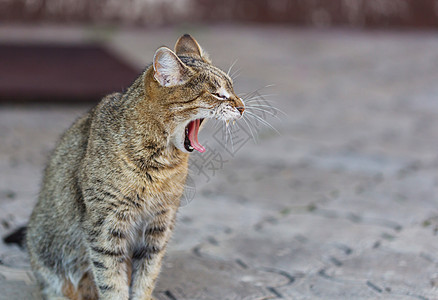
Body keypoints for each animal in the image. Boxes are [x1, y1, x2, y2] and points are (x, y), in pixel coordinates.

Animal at [25, 34, 245, 298]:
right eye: (218, 94)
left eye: (232, 89)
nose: (243, 107)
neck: (162, 164)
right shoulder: (106, 228)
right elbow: (112, 282)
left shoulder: (159, 225)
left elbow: (146, 276)